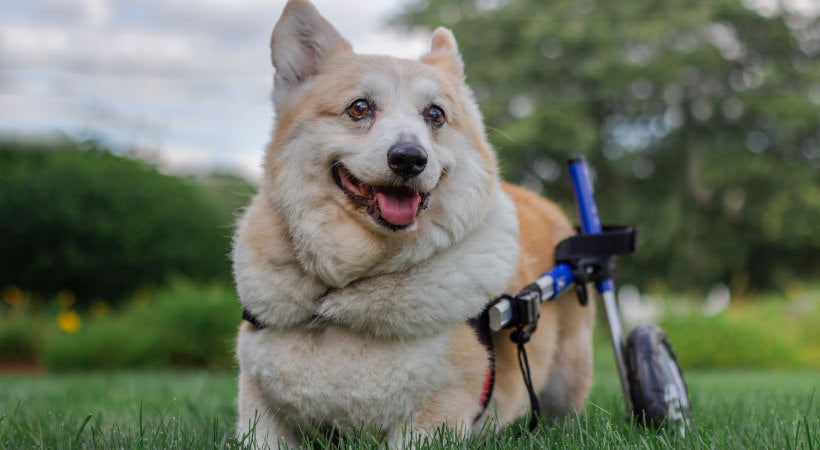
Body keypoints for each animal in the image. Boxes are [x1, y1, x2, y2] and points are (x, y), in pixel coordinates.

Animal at [232, 0, 596, 442]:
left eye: (435, 115)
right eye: (359, 107)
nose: (409, 158)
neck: (341, 294)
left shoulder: (435, 416)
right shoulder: (261, 413)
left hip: (567, 377)